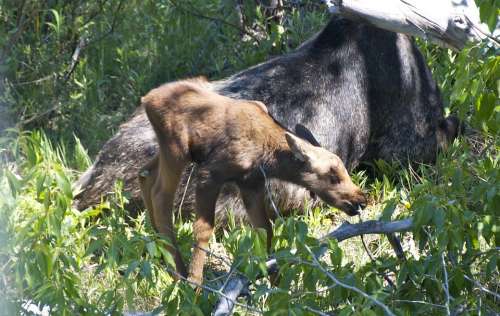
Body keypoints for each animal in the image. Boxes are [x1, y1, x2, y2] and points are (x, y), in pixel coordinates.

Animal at [139, 78, 366, 286]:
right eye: (332, 176)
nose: (361, 200)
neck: (268, 158)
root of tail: (146, 99)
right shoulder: (210, 174)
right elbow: (204, 228)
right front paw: (195, 284)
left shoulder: (251, 184)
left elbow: (265, 230)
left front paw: (277, 286)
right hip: (176, 150)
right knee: (160, 195)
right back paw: (179, 273)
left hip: (169, 152)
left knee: (146, 174)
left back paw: (159, 252)